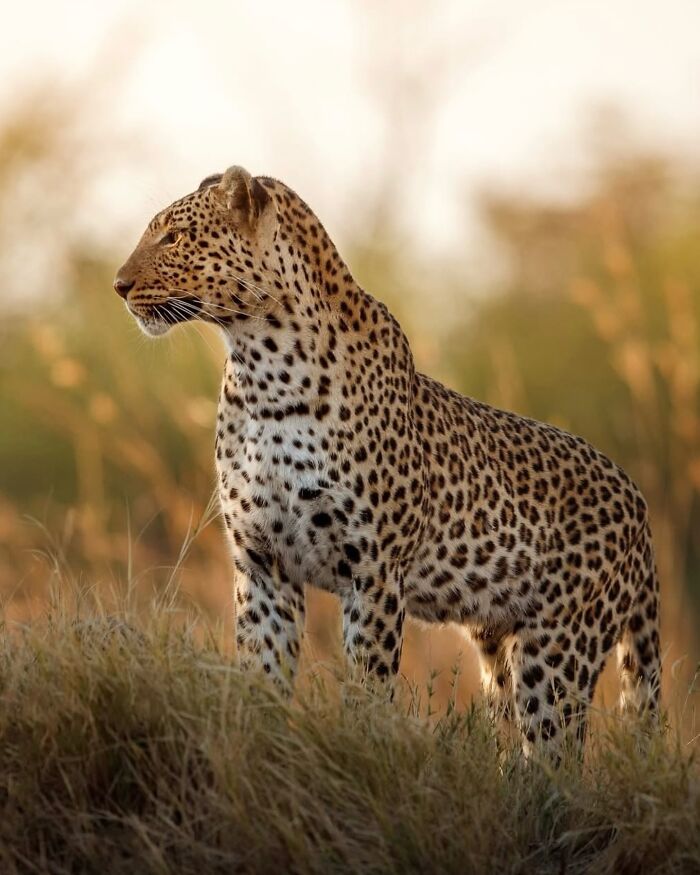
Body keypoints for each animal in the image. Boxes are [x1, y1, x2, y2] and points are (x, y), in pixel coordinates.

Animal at [114, 165, 661, 754]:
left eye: (173, 238)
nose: (119, 285)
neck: (262, 369)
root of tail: (638, 502)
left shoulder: (372, 570)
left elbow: (368, 686)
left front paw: (360, 748)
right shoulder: (262, 564)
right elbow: (261, 677)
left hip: (559, 650)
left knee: (556, 753)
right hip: (498, 646)